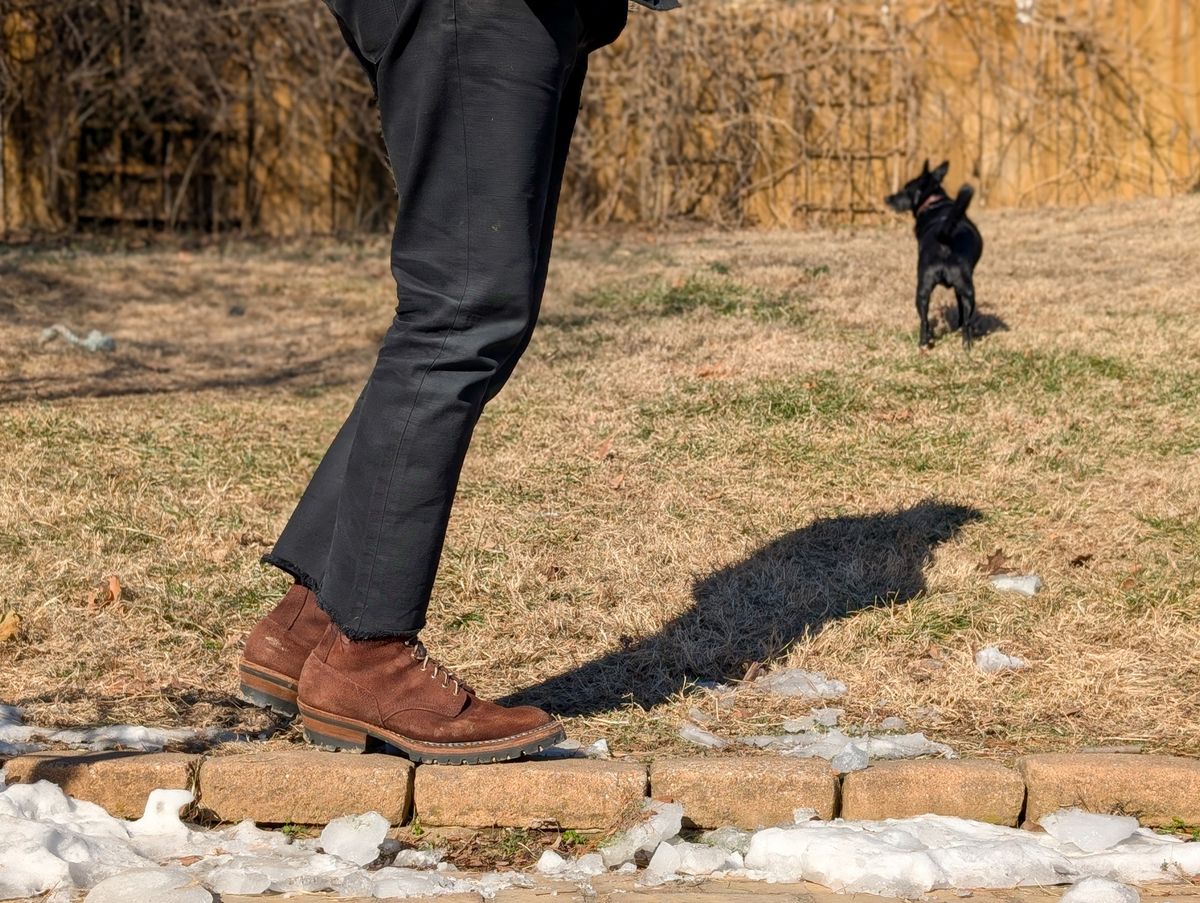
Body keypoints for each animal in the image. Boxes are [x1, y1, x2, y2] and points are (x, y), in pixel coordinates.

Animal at [888, 160, 979, 348]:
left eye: (905, 190)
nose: (888, 198)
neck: (935, 202)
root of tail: (945, 240)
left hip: (923, 289)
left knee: (924, 321)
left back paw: (924, 344)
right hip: (967, 289)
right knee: (967, 322)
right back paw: (967, 346)